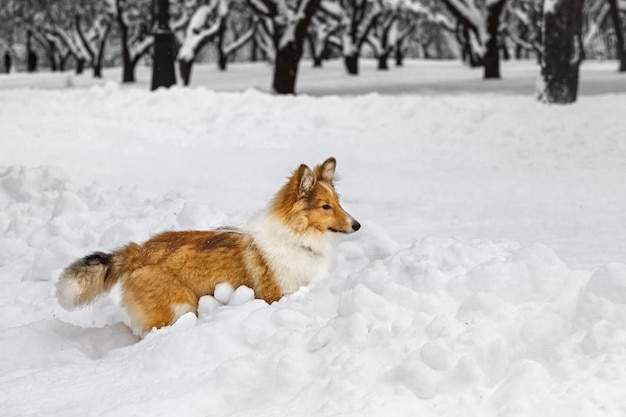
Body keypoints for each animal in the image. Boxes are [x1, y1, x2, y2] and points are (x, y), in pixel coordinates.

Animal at [58, 157, 360, 334]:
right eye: (325, 206)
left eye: (339, 201)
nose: (357, 225)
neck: (294, 237)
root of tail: (138, 251)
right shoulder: (276, 295)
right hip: (177, 309)